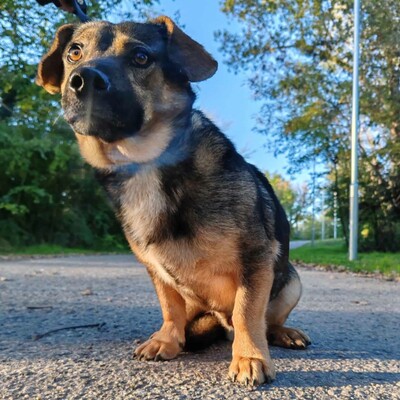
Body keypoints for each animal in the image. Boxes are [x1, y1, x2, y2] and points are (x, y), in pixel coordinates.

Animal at [36, 16, 310, 388]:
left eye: (141, 57)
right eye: (74, 52)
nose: (85, 80)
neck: (147, 163)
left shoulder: (255, 259)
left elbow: (247, 312)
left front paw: (249, 357)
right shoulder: (156, 269)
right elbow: (170, 307)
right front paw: (167, 340)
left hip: (292, 281)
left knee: (268, 321)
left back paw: (284, 333)